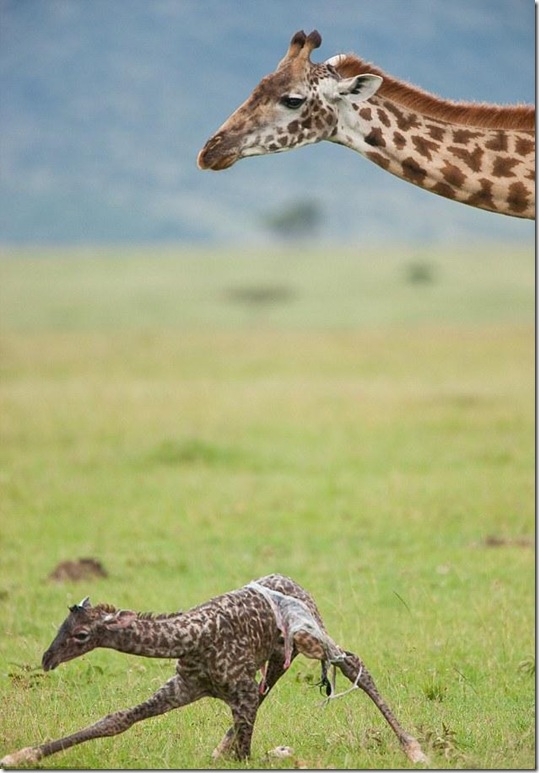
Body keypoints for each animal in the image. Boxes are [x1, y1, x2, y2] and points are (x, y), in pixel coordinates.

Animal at [1, 574, 428, 767]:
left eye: (82, 634)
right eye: (62, 625)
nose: (47, 659)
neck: (193, 638)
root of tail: (294, 582)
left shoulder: (234, 688)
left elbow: (247, 755)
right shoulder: (186, 686)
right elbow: (116, 720)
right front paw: (21, 755)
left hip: (313, 637)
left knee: (355, 665)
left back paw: (414, 748)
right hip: (277, 658)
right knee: (266, 690)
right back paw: (218, 748)